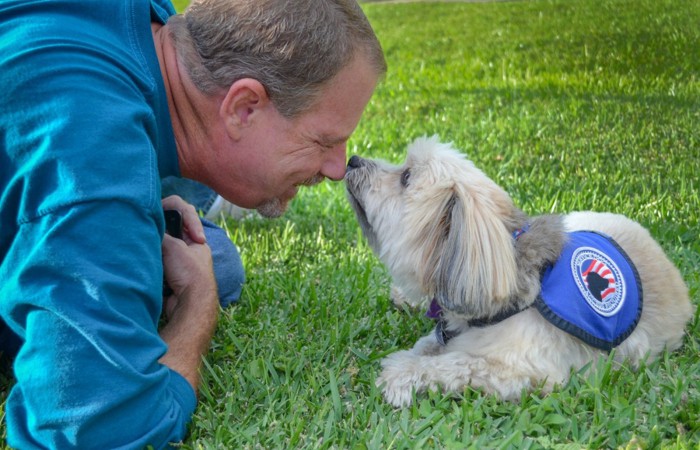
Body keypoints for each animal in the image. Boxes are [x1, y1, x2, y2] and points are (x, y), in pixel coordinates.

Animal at [342, 135, 692, 406]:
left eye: (405, 177)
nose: (353, 159)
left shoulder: (523, 372)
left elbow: (454, 363)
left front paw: (402, 374)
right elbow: (430, 343)